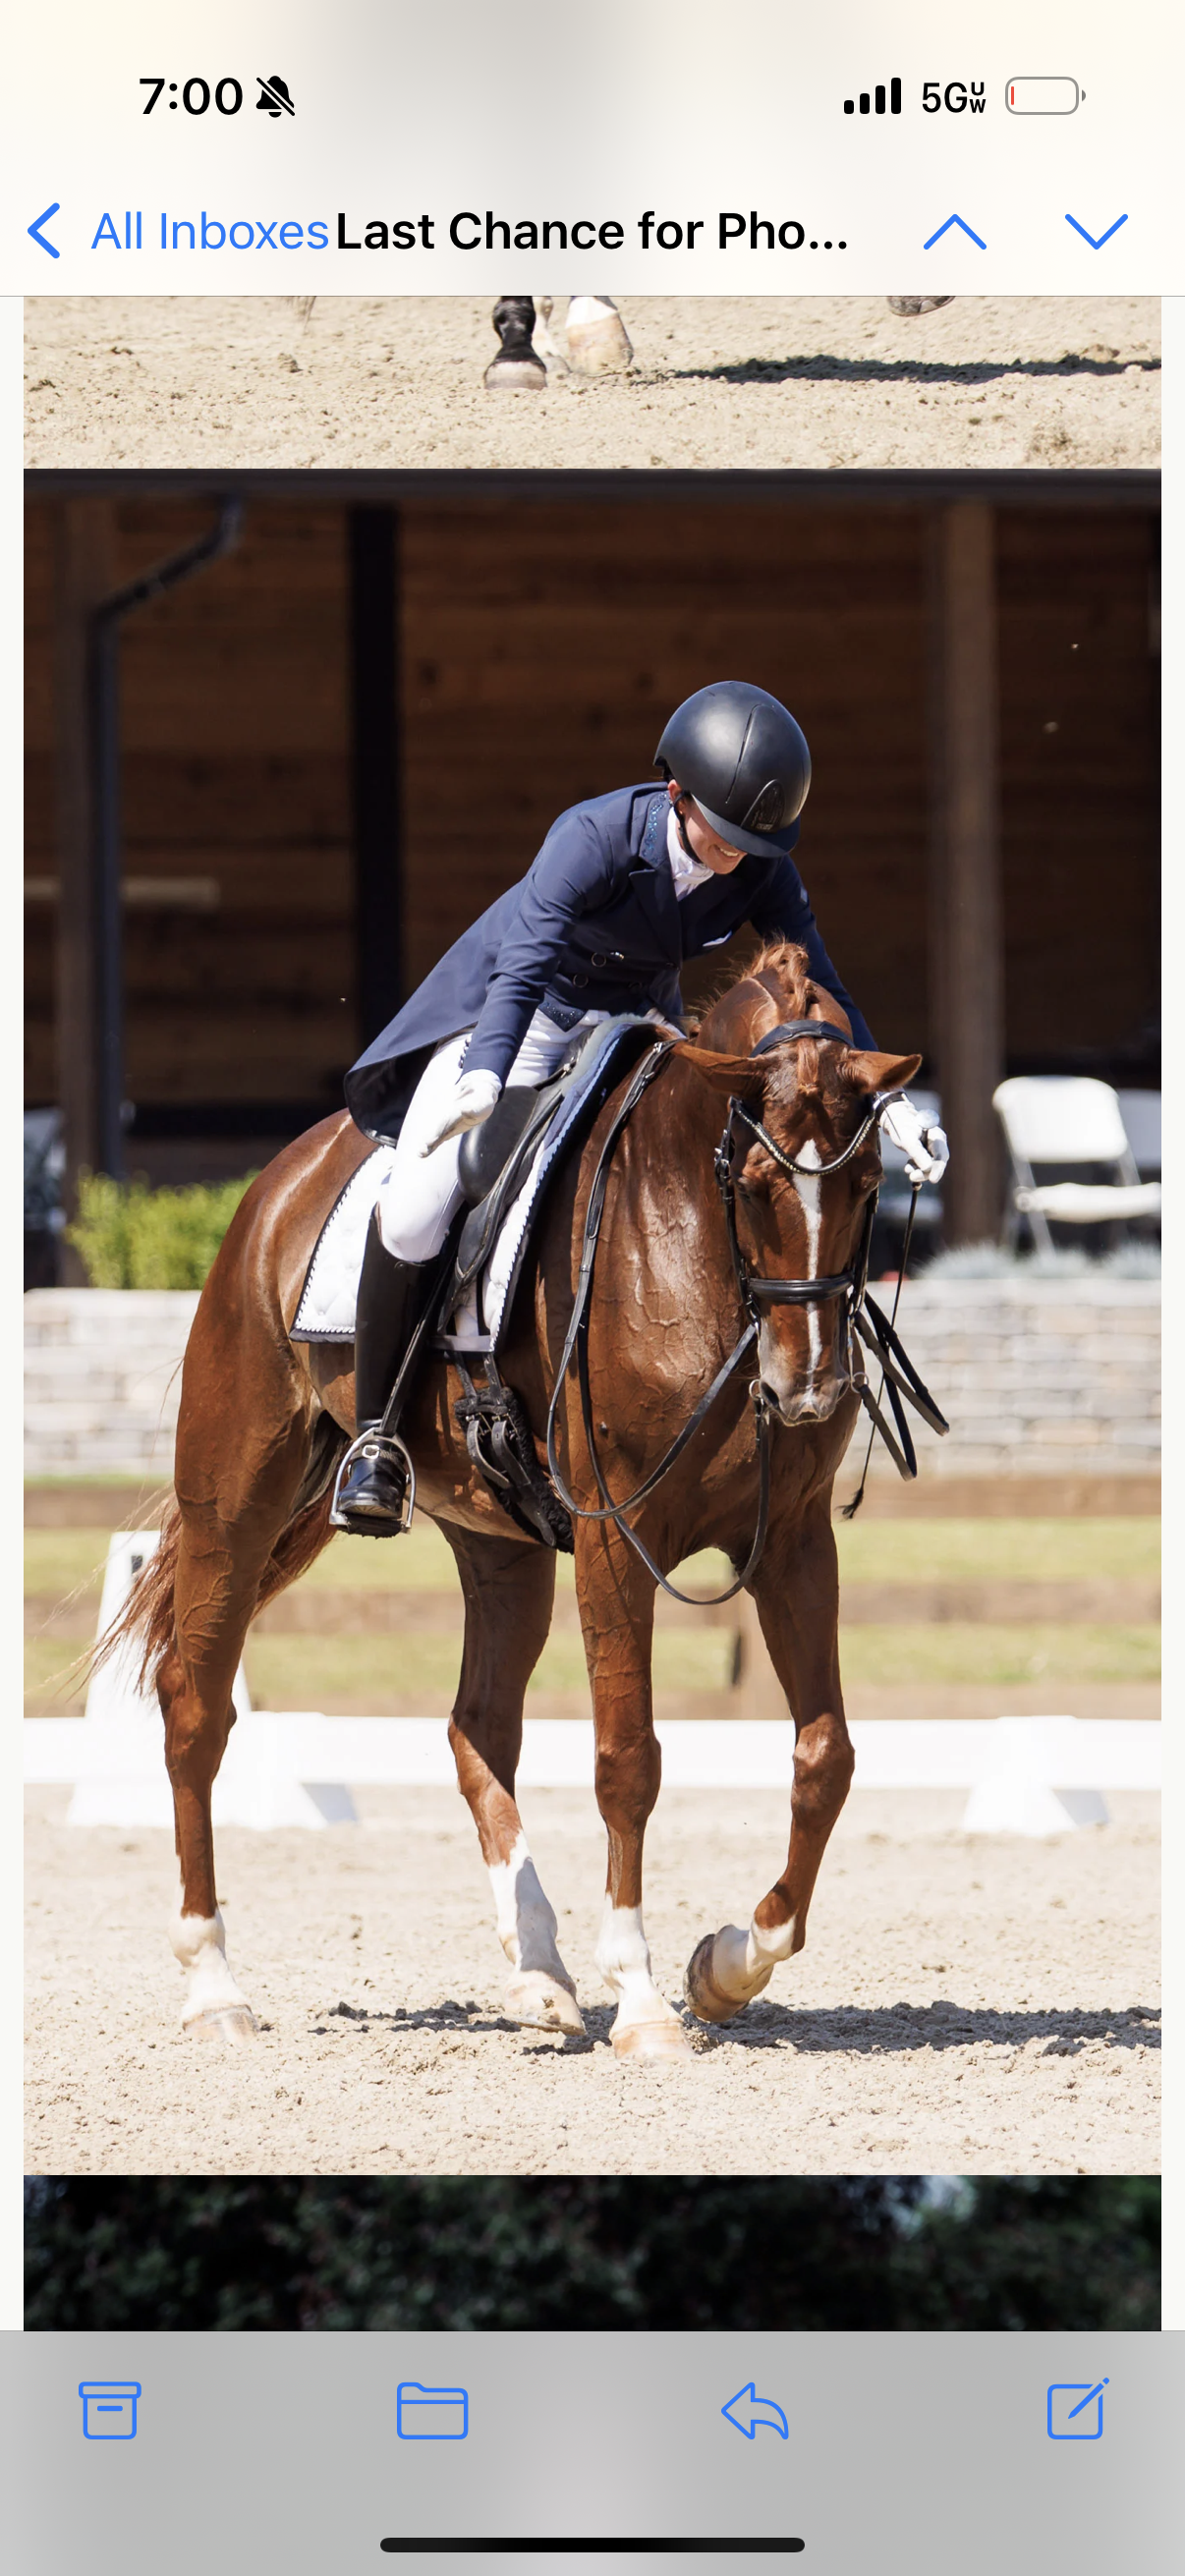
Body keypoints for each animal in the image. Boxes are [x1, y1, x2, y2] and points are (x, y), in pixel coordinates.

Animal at [105, 942, 920, 2061]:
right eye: (756, 1187)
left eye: (873, 1181)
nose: (806, 1390)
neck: (689, 1245)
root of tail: (279, 1182)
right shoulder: (620, 1539)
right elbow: (628, 1758)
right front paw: (646, 2000)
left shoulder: (791, 1543)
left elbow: (825, 1754)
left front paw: (727, 1965)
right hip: (236, 1503)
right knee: (195, 1708)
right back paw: (215, 1984)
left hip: (504, 1546)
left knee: (477, 1727)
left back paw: (539, 1973)